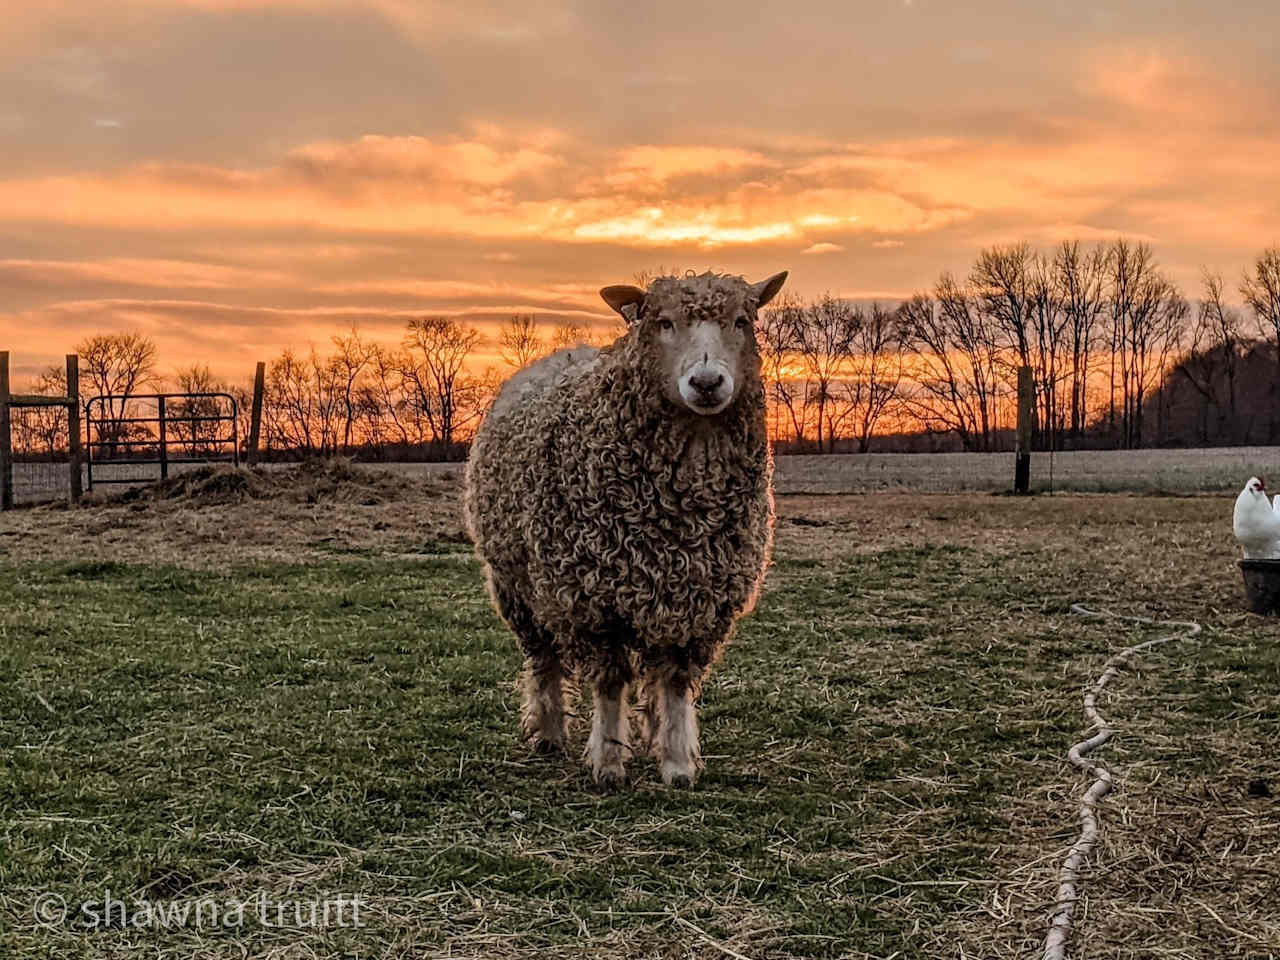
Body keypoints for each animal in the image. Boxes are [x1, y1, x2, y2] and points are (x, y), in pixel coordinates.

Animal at [468, 268, 788, 788]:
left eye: (742, 321)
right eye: (663, 322)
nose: (706, 382)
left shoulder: (698, 597)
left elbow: (674, 682)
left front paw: (676, 762)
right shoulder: (593, 600)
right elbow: (610, 683)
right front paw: (608, 761)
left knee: (653, 675)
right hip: (516, 586)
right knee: (543, 660)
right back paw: (548, 732)